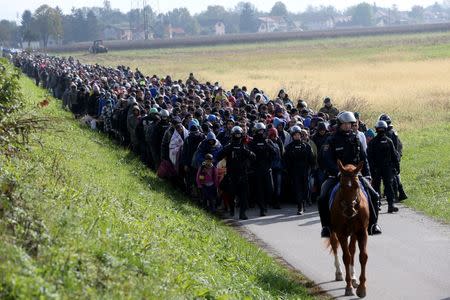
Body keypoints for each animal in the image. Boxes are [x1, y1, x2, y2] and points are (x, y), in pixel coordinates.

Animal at [326, 159, 370, 298]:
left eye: (356, 186)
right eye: (341, 186)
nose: (350, 210)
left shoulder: (362, 232)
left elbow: (362, 256)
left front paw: (361, 288)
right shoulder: (341, 233)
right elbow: (346, 257)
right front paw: (349, 287)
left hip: (354, 233)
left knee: (352, 251)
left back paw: (354, 277)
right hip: (333, 232)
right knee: (335, 247)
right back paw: (339, 273)